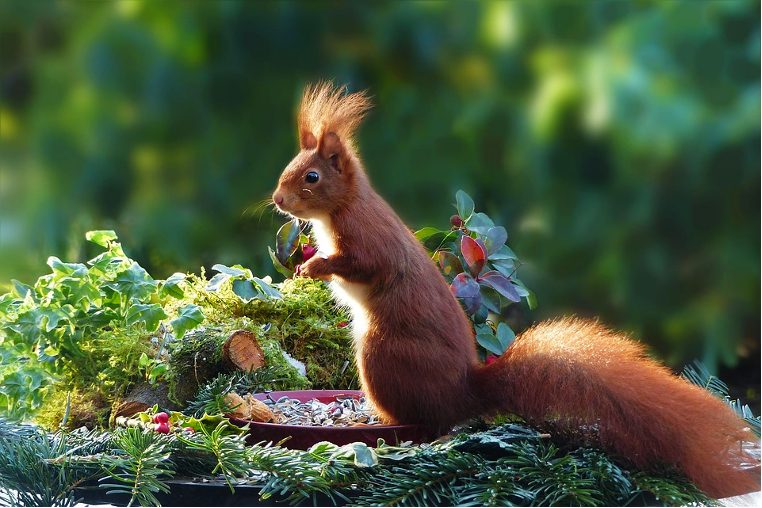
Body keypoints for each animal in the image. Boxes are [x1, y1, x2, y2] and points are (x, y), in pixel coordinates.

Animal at [270, 81, 756, 498]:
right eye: (290, 168)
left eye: (311, 177)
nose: (277, 200)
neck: (342, 208)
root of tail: (464, 389)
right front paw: (304, 271)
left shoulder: (370, 239)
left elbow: (367, 265)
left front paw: (316, 265)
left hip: (382, 353)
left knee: (428, 421)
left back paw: (380, 421)